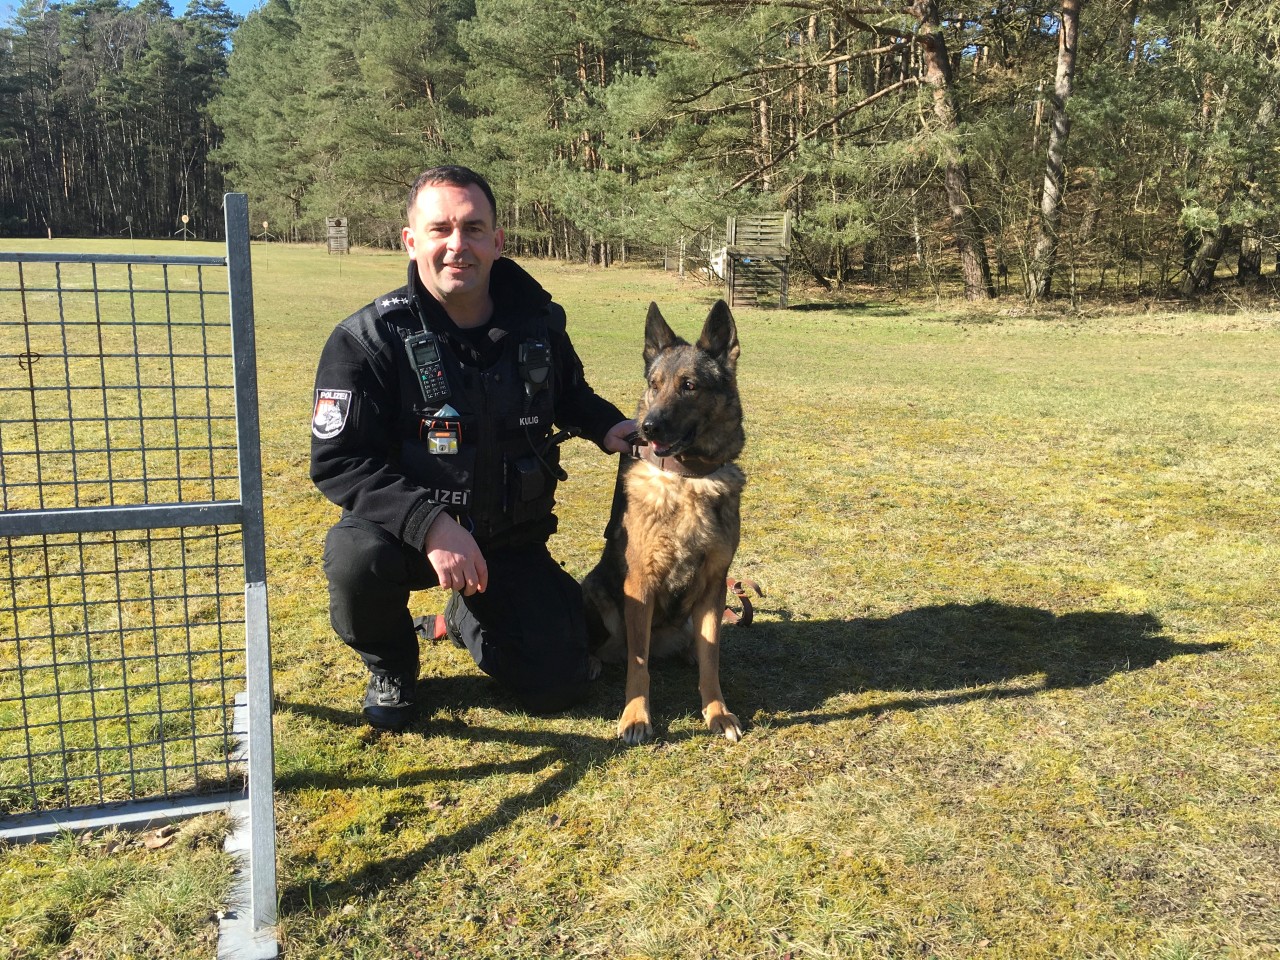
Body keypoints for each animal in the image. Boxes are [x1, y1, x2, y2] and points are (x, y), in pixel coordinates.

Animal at [583, 299, 747, 742]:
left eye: (689, 385)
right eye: (654, 384)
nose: (647, 426)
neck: (686, 479)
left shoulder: (713, 587)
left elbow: (712, 659)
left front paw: (717, 711)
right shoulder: (639, 585)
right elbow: (638, 667)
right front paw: (636, 717)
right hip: (596, 591)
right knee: (617, 650)